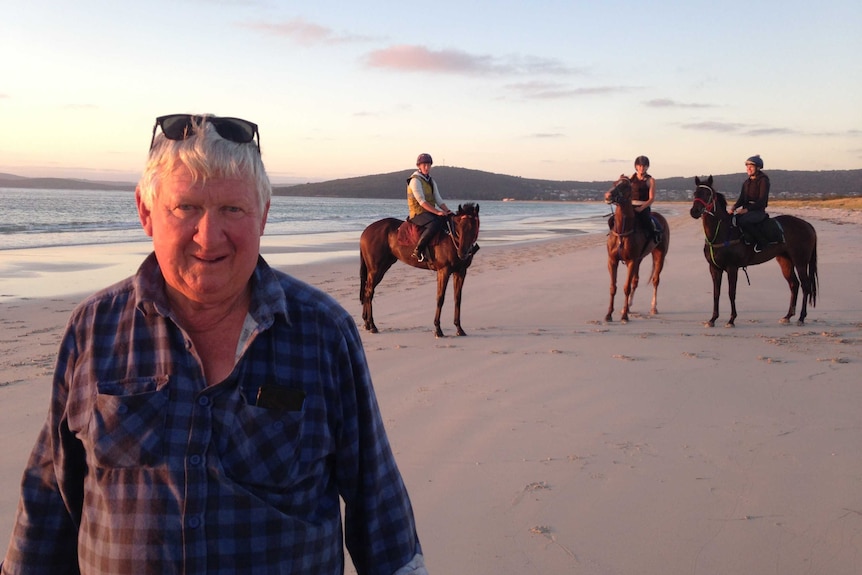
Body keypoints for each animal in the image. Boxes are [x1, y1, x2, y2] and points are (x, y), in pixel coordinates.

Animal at [358, 202, 480, 338]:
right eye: (460, 226)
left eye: (474, 226)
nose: (463, 253)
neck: (452, 238)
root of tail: (366, 231)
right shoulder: (443, 271)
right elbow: (440, 298)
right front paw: (438, 329)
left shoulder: (461, 272)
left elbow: (457, 299)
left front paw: (459, 328)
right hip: (376, 269)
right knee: (369, 292)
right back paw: (372, 325)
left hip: (382, 267)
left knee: (368, 290)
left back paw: (367, 323)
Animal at [604, 174, 672, 324]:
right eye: (614, 183)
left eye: (625, 186)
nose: (608, 195)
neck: (623, 231)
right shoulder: (612, 261)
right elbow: (613, 287)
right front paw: (609, 314)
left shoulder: (631, 261)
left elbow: (626, 288)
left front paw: (624, 317)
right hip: (639, 259)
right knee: (636, 281)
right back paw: (628, 306)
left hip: (659, 255)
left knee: (655, 280)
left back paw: (653, 307)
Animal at [692, 176, 820, 326]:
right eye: (695, 193)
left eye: (708, 194)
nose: (694, 211)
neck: (723, 232)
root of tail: (807, 225)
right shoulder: (714, 268)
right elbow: (716, 293)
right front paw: (712, 319)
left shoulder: (732, 268)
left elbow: (731, 293)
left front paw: (731, 319)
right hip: (785, 261)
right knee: (794, 285)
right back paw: (788, 316)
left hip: (800, 262)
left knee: (806, 286)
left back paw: (801, 317)